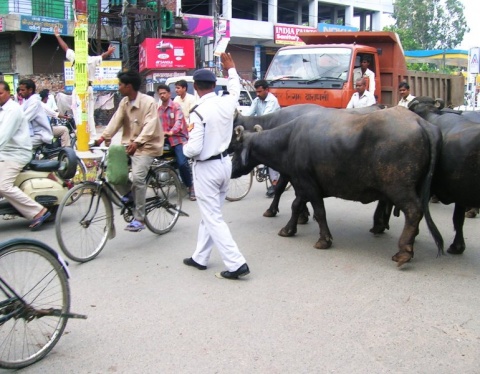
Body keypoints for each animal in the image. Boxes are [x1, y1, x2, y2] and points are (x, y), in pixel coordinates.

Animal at [231, 106, 444, 268]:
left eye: (236, 149)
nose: (231, 170)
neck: (289, 140)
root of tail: (420, 122)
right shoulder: (302, 184)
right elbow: (295, 205)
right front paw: (288, 229)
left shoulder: (309, 185)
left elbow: (319, 212)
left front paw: (323, 240)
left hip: (399, 188)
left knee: (414, 210)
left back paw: (403, 251)